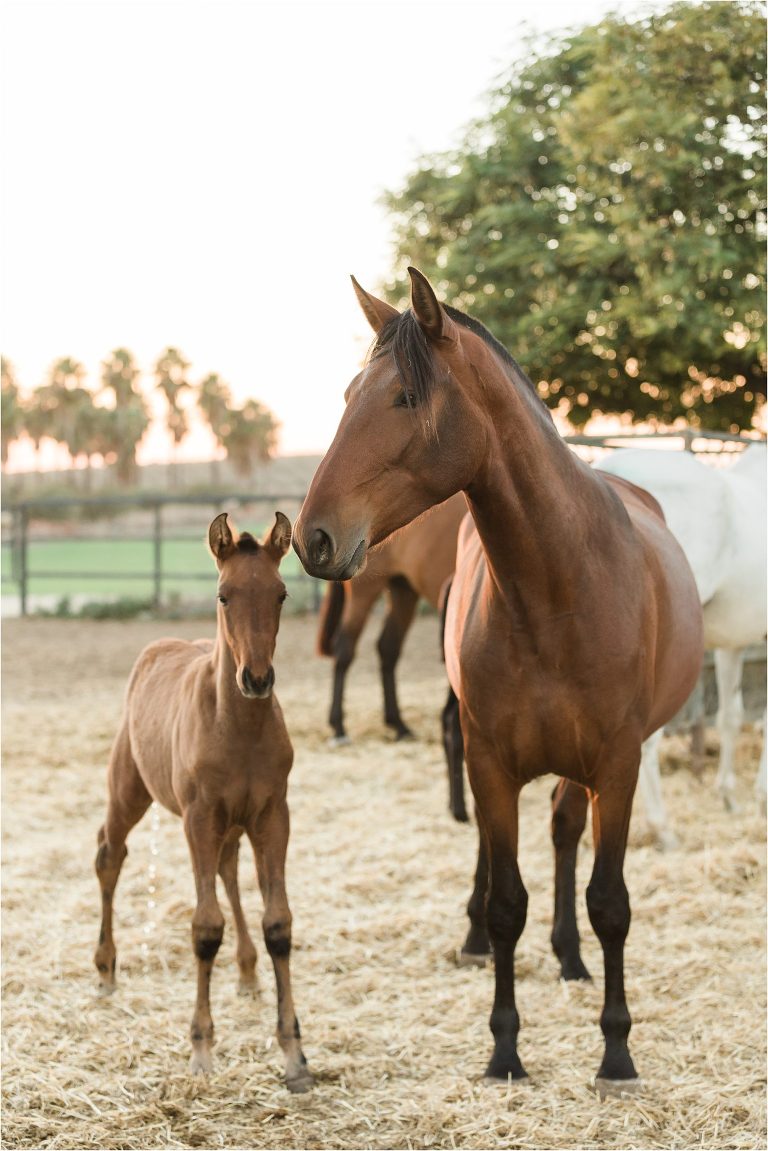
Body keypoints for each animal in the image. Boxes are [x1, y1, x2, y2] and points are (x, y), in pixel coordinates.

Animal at [94, 512, 313, 1093]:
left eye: (281, 594)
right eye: (223, 595)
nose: (256, 679)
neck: (236, 727)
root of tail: (158, 646)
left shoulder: (272, 815)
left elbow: (278, 922)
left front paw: (294, 1055)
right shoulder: (198, 818)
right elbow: (204, 928)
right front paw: (201, 1048)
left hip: (232, 824)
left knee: (228, 872)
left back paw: (247, 972)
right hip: (130, 788)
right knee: (110, 855)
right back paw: (105, 970)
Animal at [317, 493, 465, 745]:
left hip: (403, 590)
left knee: (388, 648)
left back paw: (398, 724)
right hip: (364, 591)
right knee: (345, 648)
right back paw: (339, 726)